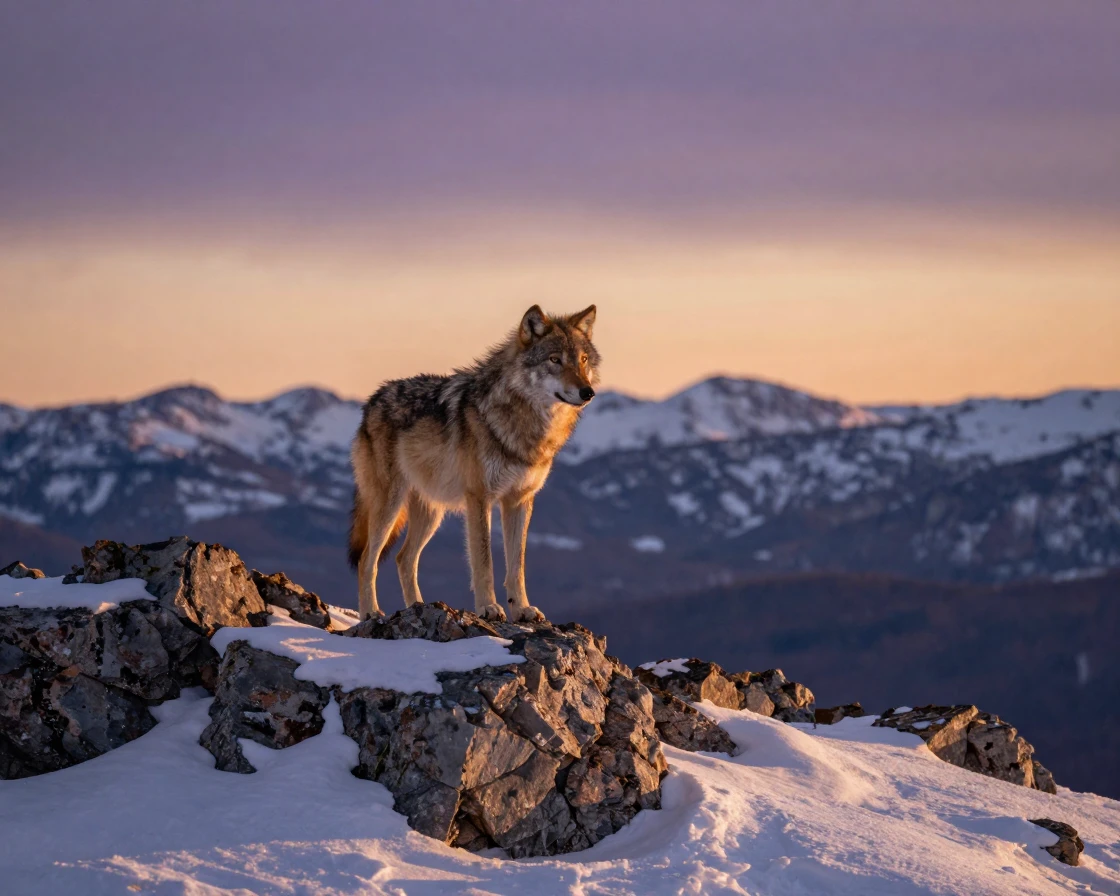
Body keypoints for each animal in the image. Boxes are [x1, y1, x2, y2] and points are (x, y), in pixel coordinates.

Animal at [348, 305, 600, 622]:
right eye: (555, 360)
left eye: (582, 360)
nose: (587, 392)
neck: (522, 423)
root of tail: (372, 400)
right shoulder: (479, 498)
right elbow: (484, 561)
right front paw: (488, 607)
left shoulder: (519, 500)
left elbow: (517, 565)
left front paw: (523, 609)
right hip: (389, 506)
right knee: (366, 560)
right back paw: (370, 612)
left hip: (431, 513)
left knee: (404, 559)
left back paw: (418, 607)